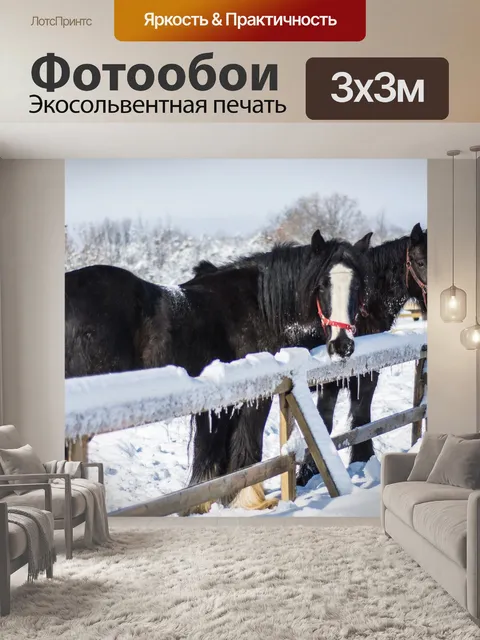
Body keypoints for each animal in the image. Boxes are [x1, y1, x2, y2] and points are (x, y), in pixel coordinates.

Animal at [65, 230, 373, 511]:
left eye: (358, 285)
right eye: (321, 285)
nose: (342, 345)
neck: (258, 307)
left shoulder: (219, 406)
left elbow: (212, 457)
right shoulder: (253, 398)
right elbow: (244, 448)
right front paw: (250, 501)